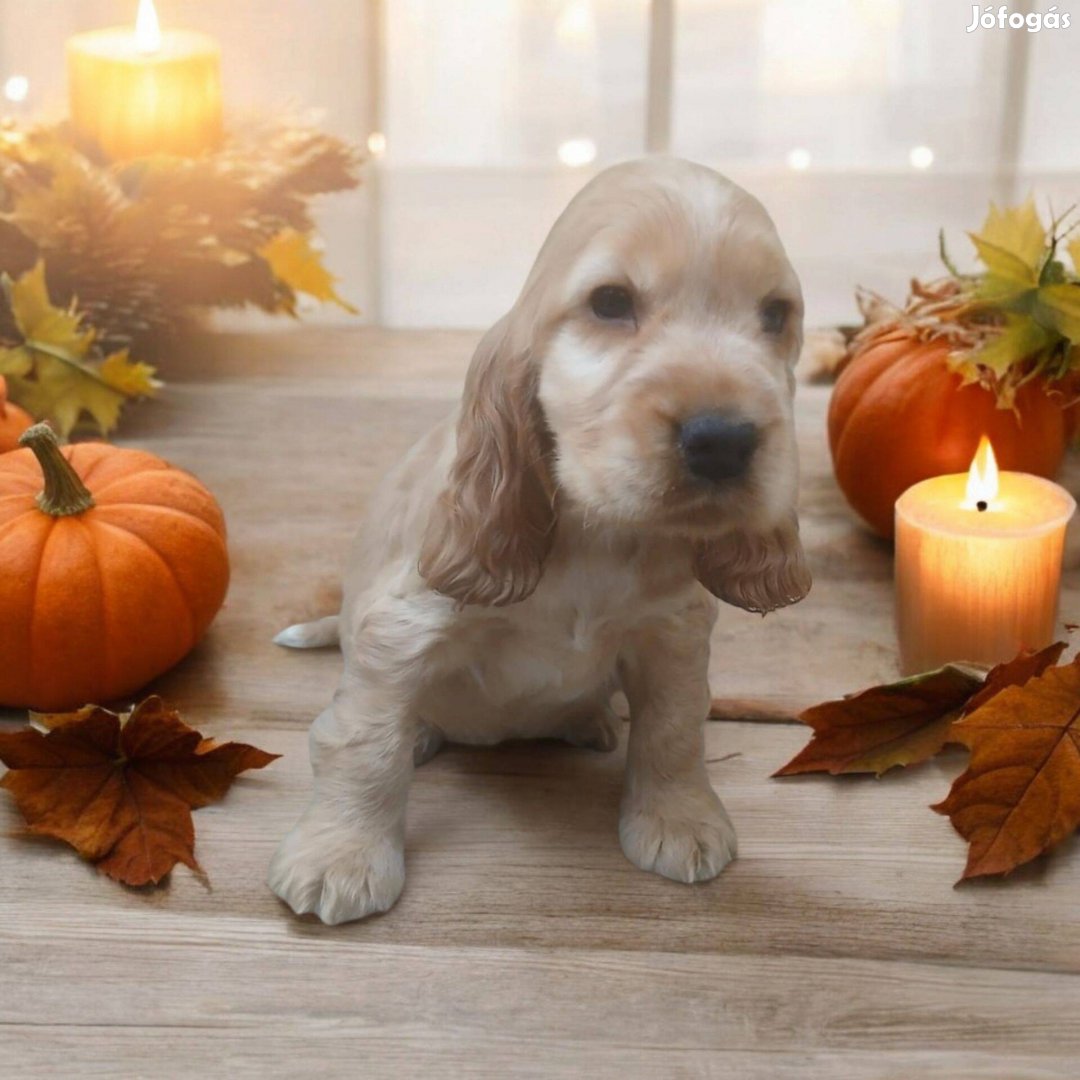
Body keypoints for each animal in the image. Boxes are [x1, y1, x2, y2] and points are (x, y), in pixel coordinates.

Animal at [270, 159, 812, 928]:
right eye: (610, 302)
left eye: (775, 315)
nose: (724, 441)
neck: (596, 534)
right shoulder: (400, 628)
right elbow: (363, 741)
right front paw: (339, 856)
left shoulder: (672, 633)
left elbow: (675, 729)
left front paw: (679, 820)